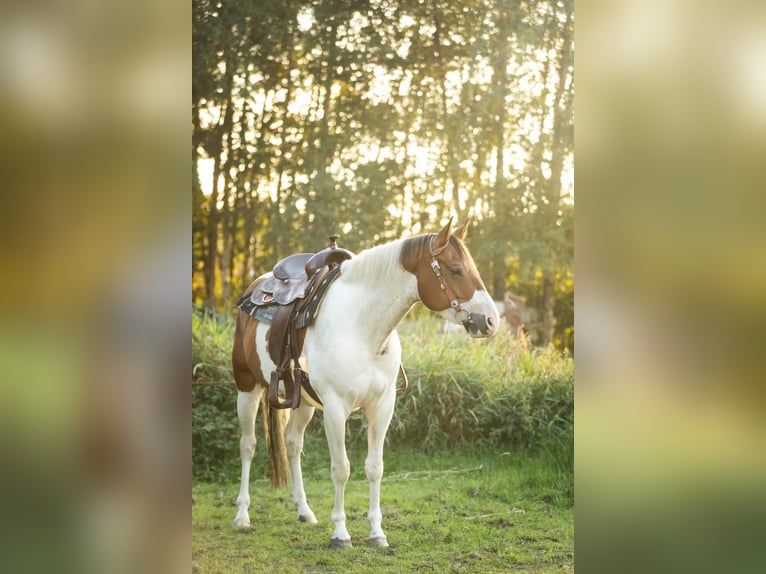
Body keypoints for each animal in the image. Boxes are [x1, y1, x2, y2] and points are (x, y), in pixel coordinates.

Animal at [231, 219, 500, 548]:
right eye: (455, 269)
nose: (491, 321)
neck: (361, 329)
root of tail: (255, 287)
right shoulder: (335, 409)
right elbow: (341, 469)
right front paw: (341, 534)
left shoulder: (382, 407)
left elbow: (375, 468)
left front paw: (376, 533)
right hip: (247, 389)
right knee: (248, 446)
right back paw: (242, 515)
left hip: (303, 402)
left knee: (293, 444)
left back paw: (304, 511)